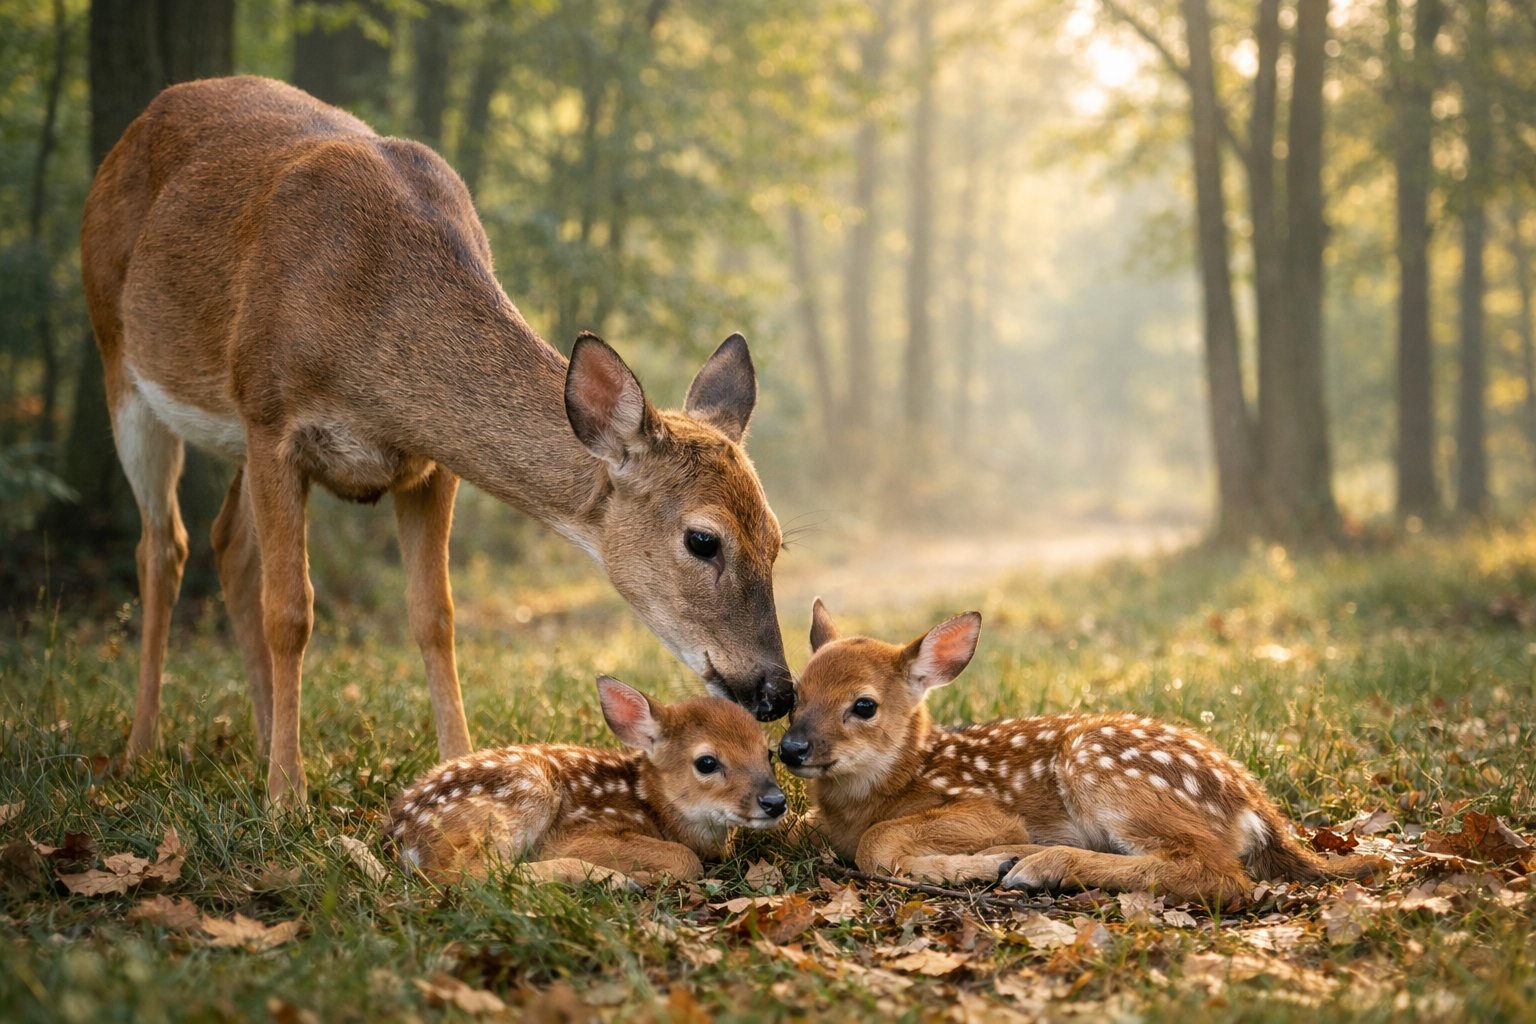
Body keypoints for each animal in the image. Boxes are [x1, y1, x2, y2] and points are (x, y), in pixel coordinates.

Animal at [80, 76, 793, 808]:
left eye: (776, 538)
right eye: (702, 539)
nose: (777, 690)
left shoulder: (429, 465)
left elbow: (435, 616)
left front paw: (458, 769)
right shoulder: (272, 418)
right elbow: (291, 612)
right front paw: (287, 797)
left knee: (228, 543)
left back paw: (258, 738)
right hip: (122, 360)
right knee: (163, 546)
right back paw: (142, 751)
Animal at [387, 676, 787, 886]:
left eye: (769, 754)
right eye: (706, 762)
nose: (775, 802)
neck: (649, 804)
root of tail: (399, 835)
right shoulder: (577, 833)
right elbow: (686, 858)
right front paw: (645, 876)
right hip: (527, 791)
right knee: (465, 873)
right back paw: (612, 879)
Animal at [778, 601, 1381, 908]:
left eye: (864, 705)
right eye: (795, 695)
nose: (792, 748)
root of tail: (1256, 808)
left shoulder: (988, 808)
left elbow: (877, 844)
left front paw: (970, 865)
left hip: (1097, 763)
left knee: (1219, 874)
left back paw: (1038, 866)